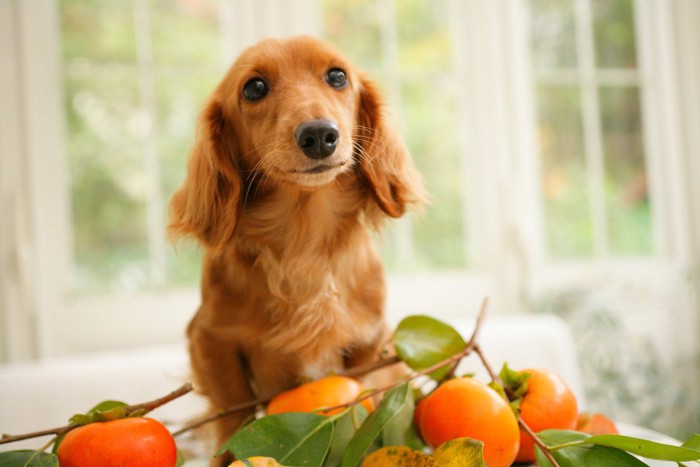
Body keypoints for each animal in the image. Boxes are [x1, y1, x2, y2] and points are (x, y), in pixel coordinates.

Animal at [170, 36, 422, 464]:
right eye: (254, 88)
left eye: (337, 76)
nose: (319, 135)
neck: (303, 244)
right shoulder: (211, 341)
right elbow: (231, 415)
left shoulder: (368, 341)